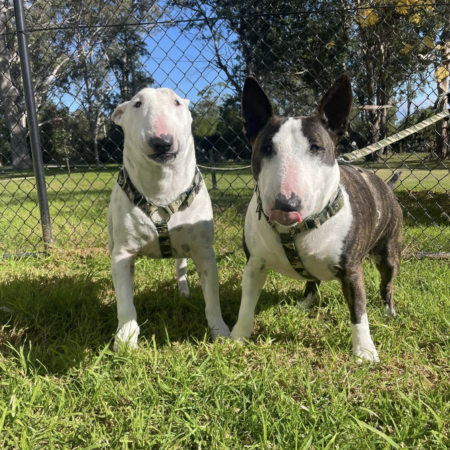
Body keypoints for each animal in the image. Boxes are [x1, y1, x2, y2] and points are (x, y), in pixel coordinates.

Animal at [107, 86, 230, 350]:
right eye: (137, 104)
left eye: (177, 103)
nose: (162, 141)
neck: (161, 188)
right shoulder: (123, 255)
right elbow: (125, 300)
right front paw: (125, 337)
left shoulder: (204, 252)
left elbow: (213, 298)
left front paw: (220, 331)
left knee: (180, 264)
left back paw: (183, 291)